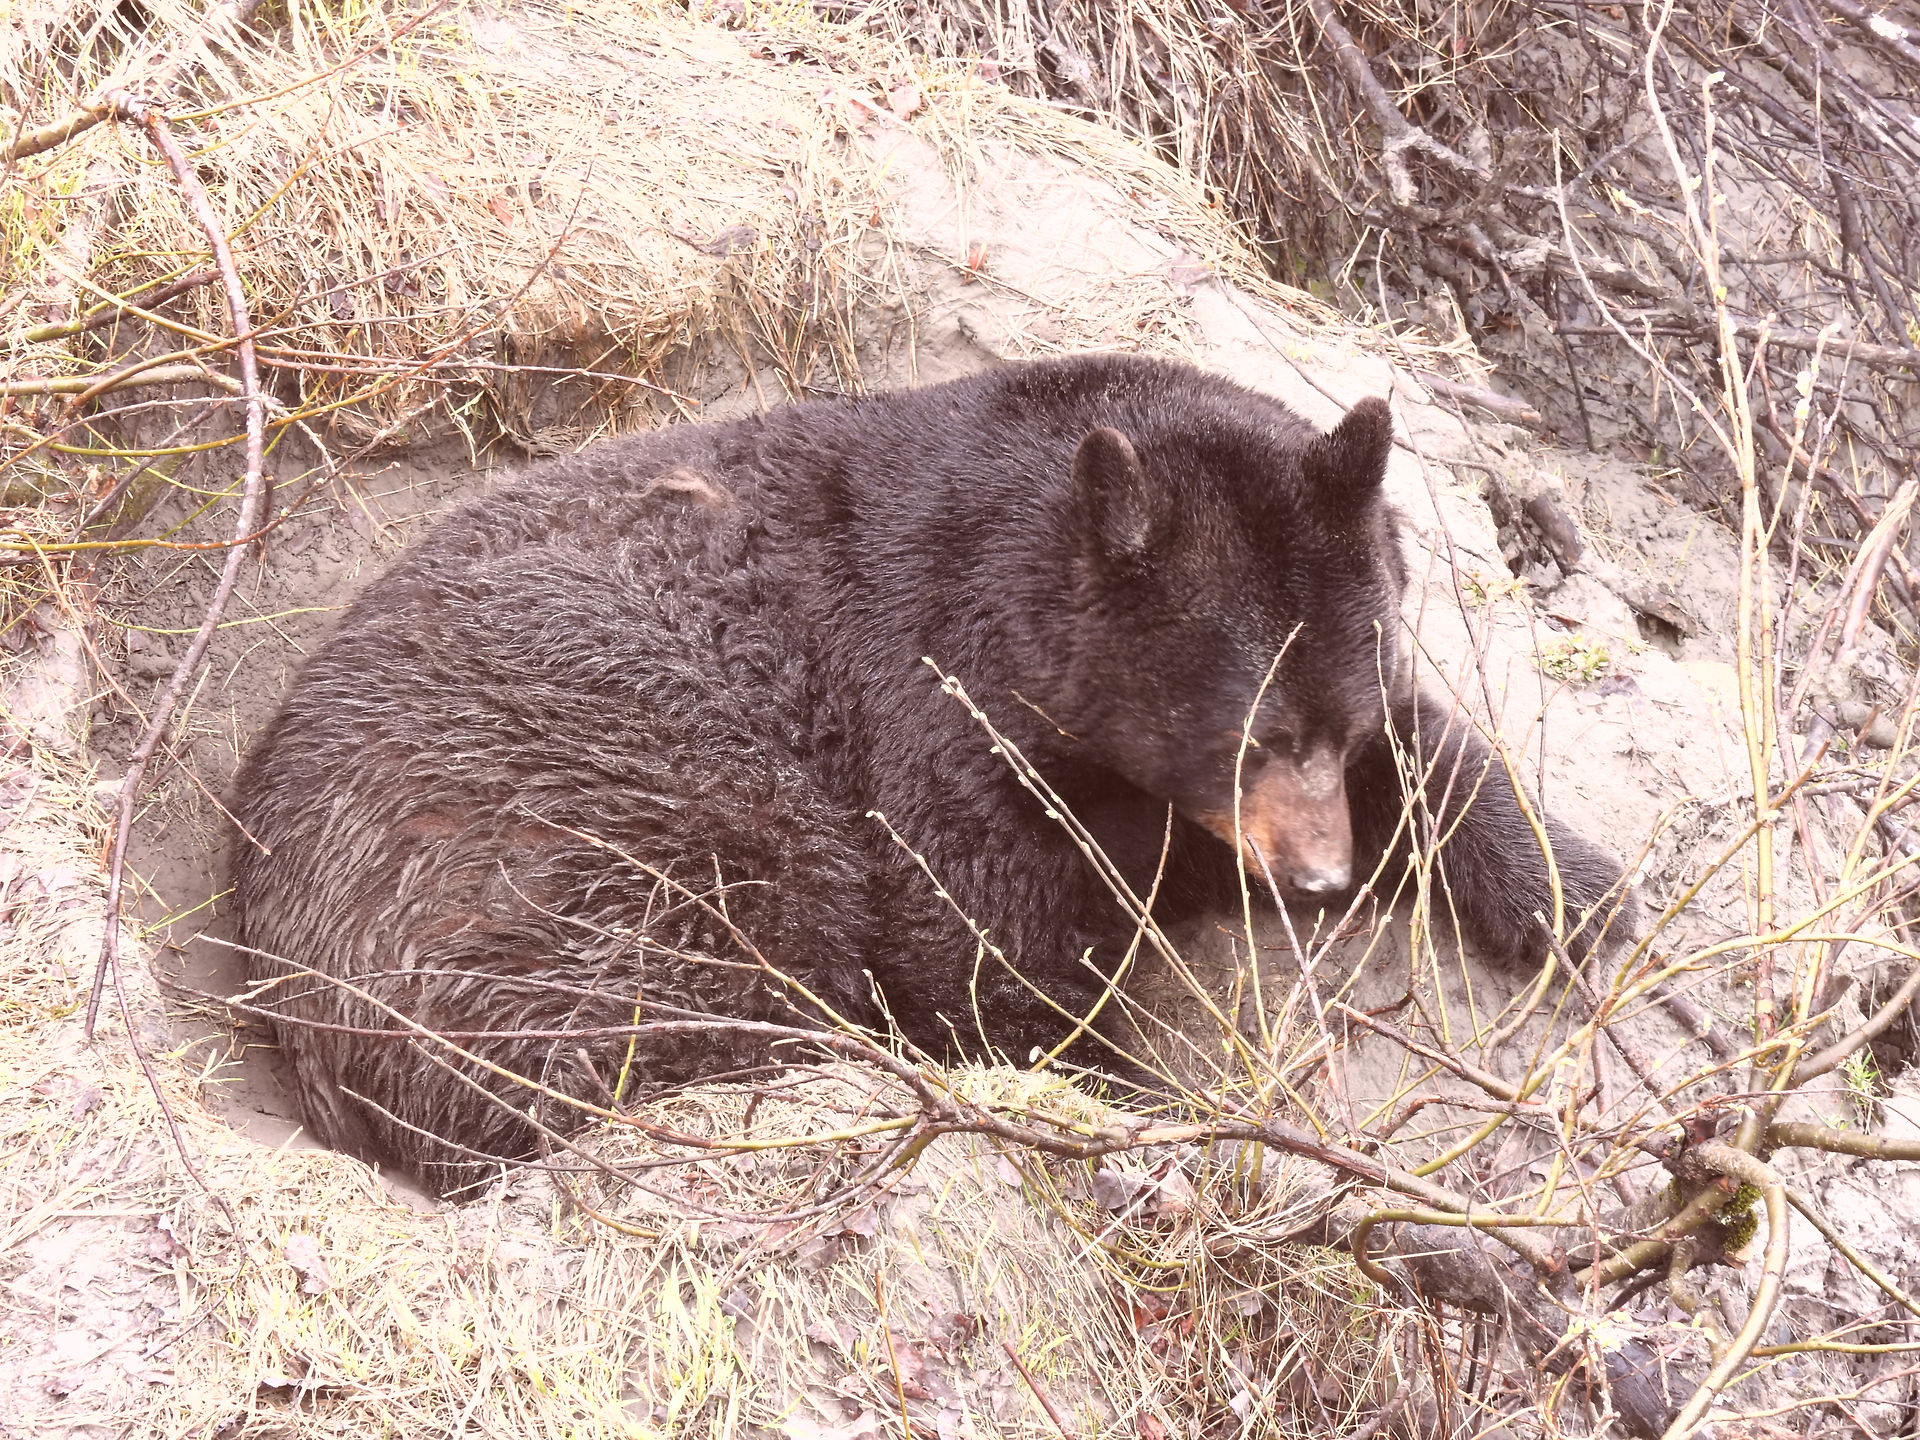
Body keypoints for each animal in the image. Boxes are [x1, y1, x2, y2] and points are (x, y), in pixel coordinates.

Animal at [229, 353, 1631, 1197]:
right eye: (1255, 735)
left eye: (1332, 724)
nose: (1322, 878)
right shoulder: (919, 720)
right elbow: (974, 940)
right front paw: (1102, 1081)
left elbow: (1432, 749)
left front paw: (1571, 891)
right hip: (562, 801)